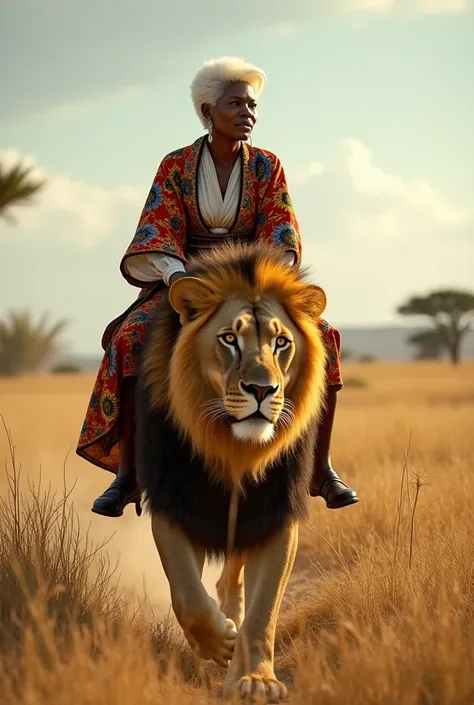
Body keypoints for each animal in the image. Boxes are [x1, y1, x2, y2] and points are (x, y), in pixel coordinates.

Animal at [135, 241, 328, 700]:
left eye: (281, 342)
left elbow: (264, 611)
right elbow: (187, 593)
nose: (261, 389)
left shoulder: (276, 513)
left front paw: (256, 679)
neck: (236, 449)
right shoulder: (173, 501)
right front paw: (219, 642)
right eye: (228, 339)